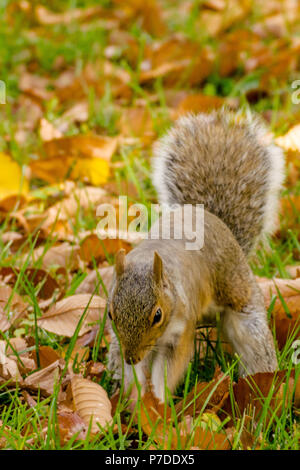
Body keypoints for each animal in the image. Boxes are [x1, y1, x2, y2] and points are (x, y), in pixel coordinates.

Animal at [106, 109, 284, 400]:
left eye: (157, 315)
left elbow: (171, 366)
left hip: (241, 300)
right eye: (110, 314)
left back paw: (261, 387)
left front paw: (158, 398)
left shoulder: (181, 330)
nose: (131, 357)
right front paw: (137, 396)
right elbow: (136, 372)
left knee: (254, 345)